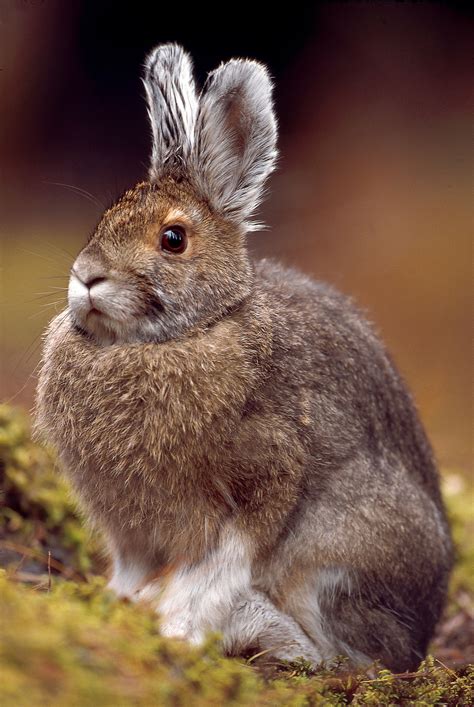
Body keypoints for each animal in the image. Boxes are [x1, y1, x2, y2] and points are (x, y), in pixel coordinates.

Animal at [35, 43, 453, 672]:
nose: (86, 277)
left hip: (332, 556)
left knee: (346, 658)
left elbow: (215, 572)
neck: (187, 333)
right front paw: (121, 603)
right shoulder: (130, 532)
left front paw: (176, 628)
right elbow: (134, 569)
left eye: (173, 239)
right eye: (104, 218)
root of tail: (423, 634)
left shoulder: (262, 483)